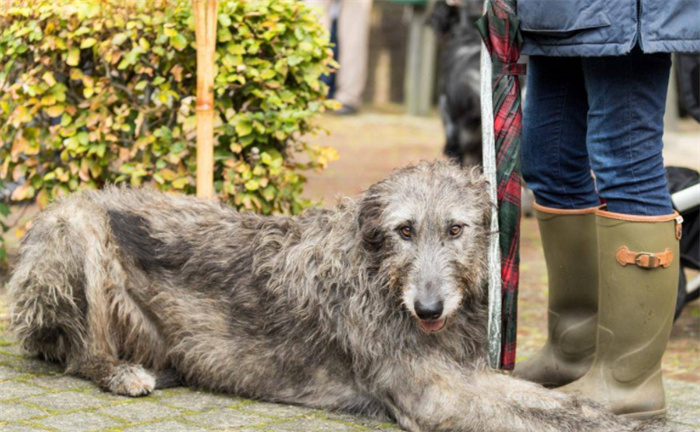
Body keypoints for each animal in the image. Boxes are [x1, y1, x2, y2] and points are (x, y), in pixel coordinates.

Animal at [9, 162, 668, 432]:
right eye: (405, 230)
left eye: (456, 229)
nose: (430, 310)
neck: (383, 281)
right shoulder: (432, 390)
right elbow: (534, 413)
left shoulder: (458, 370)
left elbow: (547, 401)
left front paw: (610, 412)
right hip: (77, 228)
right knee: (78, 354)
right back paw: (122, 372)